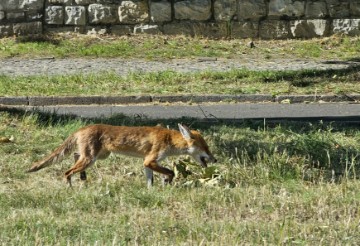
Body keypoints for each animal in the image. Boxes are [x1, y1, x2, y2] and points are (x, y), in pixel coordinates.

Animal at [27, 124, 217, 187]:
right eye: (206, 148)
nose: (215, 159)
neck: (168, 139)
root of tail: (83, 127)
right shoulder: (150, 160)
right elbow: (170, 172)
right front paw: (167, 182)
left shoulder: (146, 163)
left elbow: (150, 181)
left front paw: (153, 191)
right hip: (91, 158)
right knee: (67, 172)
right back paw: (71, 187)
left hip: (98, 156)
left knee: (74, 154)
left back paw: (82, 178)